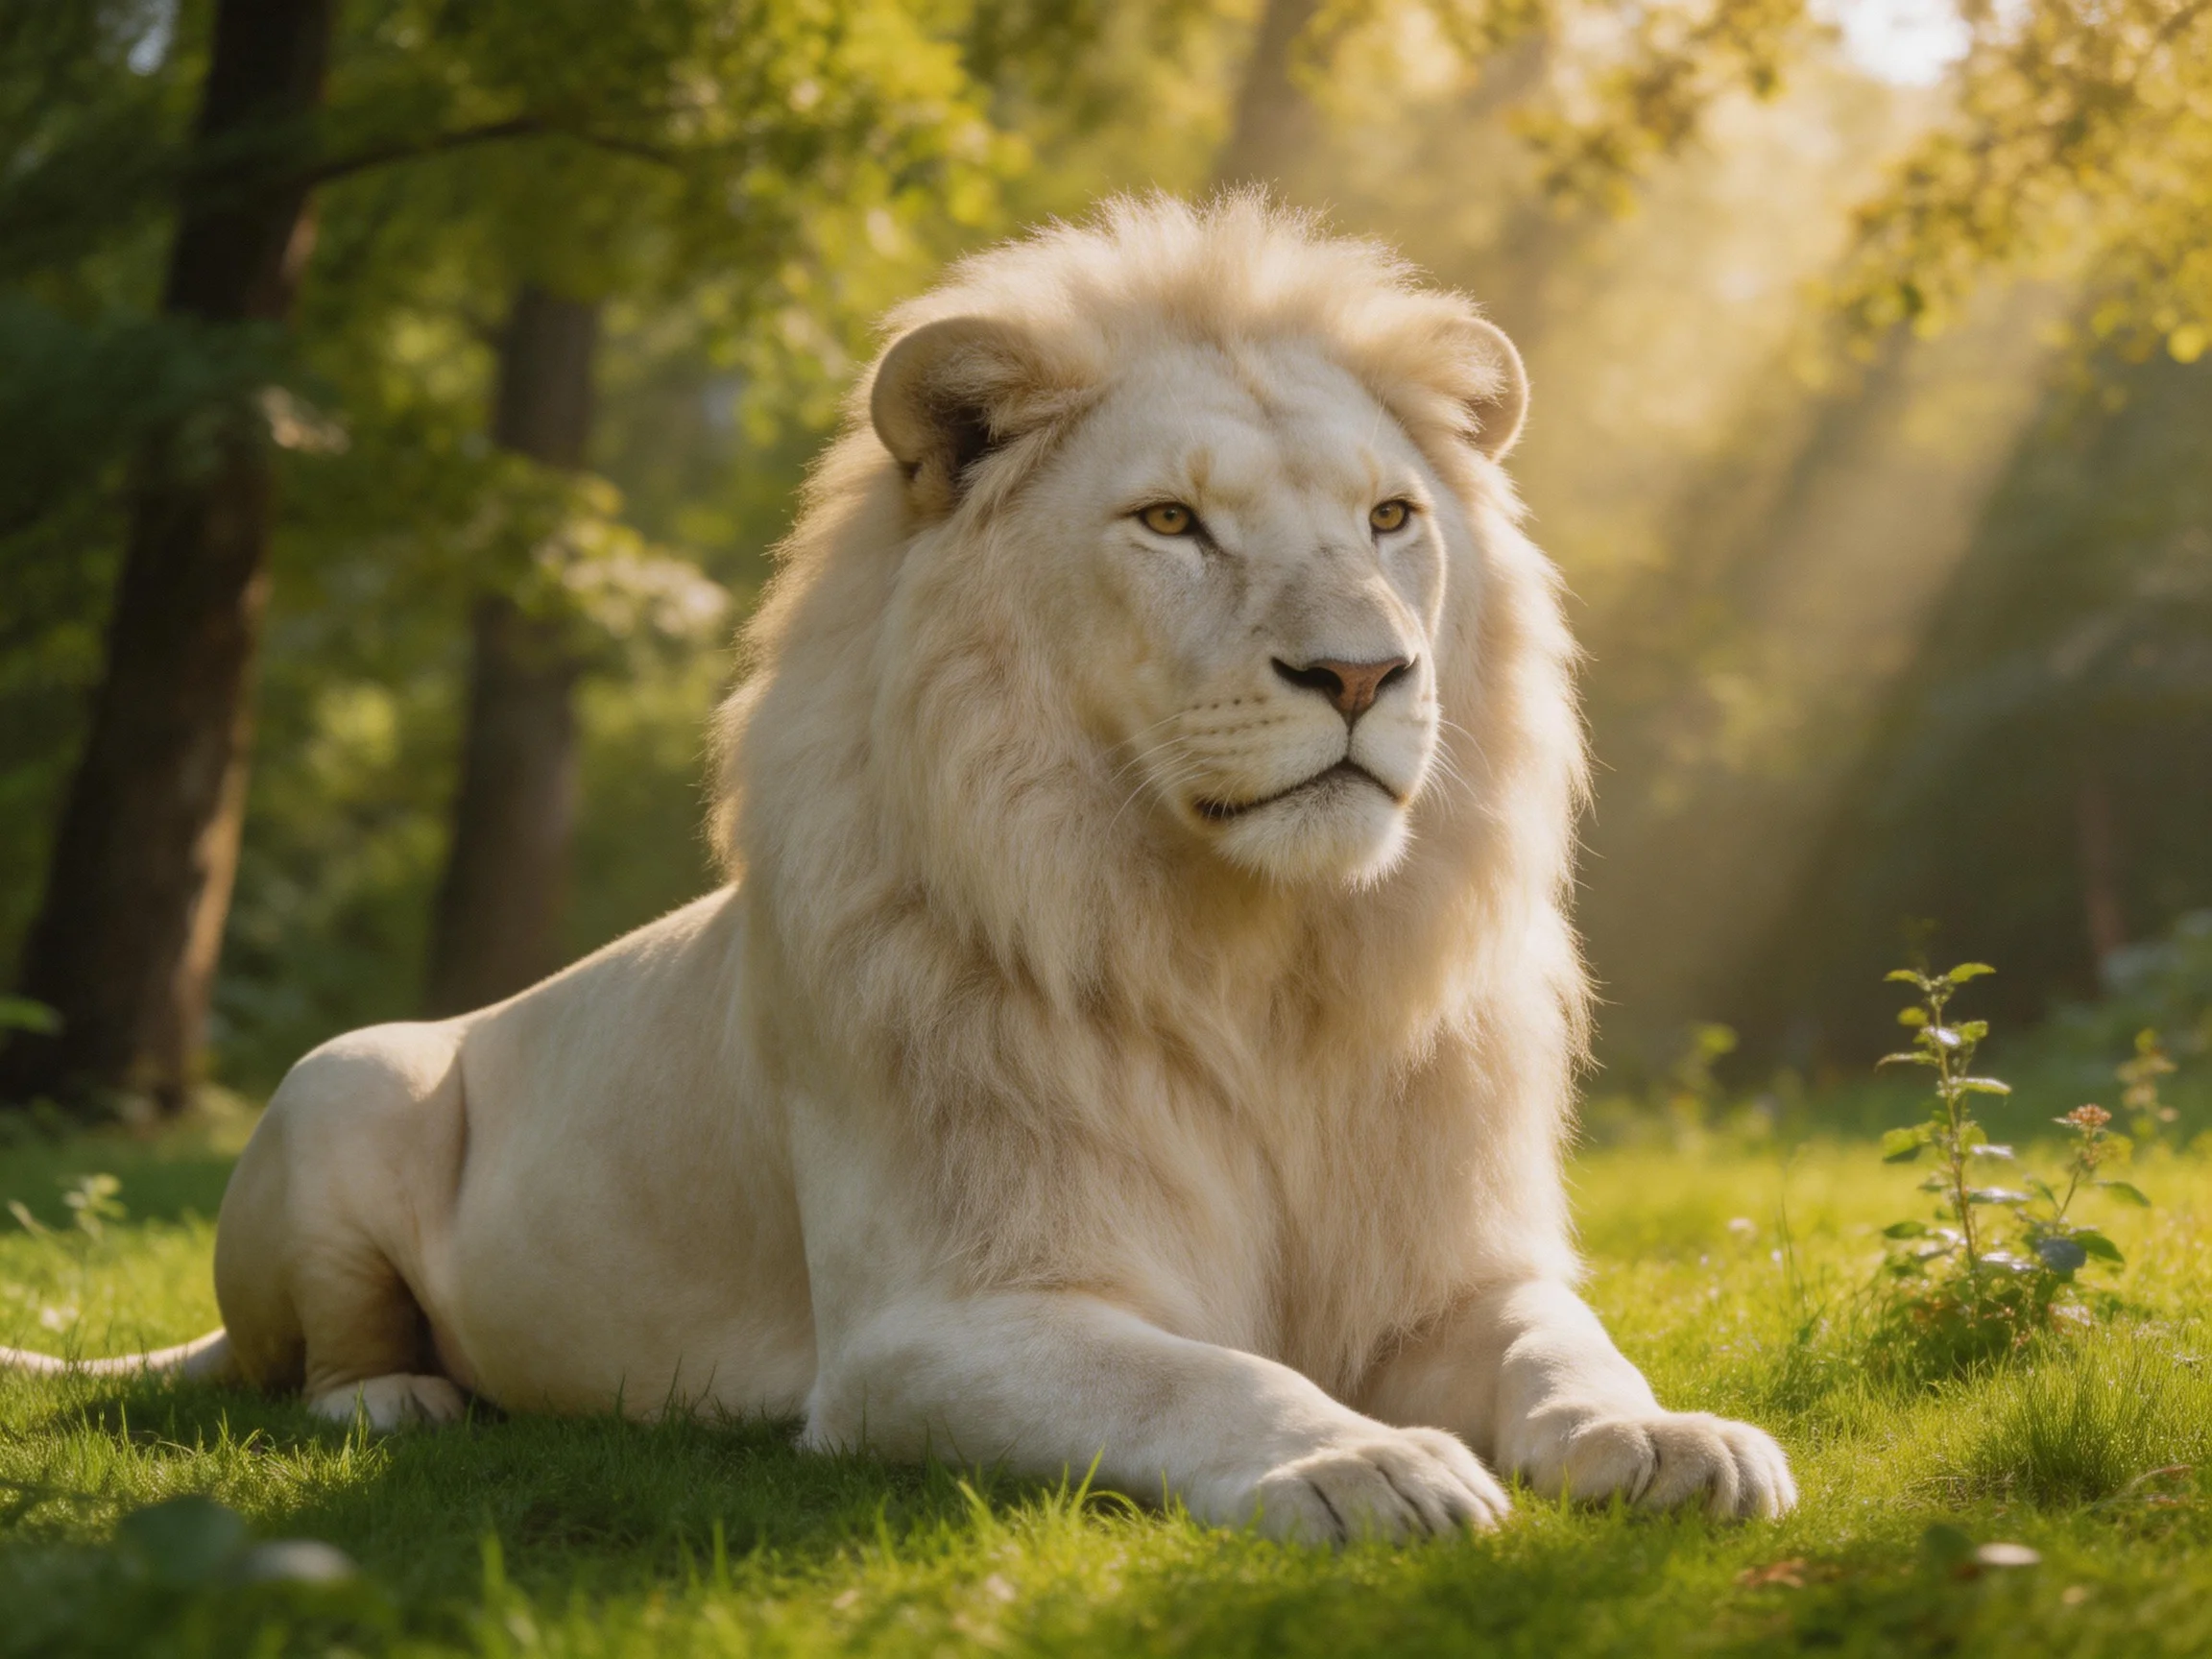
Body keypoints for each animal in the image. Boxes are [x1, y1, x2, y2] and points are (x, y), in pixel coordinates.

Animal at [4, 195, 1793, 1537]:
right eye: (1169, 524)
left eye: (1388, 519)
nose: (1362, 674)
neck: (1255, 965)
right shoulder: (926, 1329)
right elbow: (1198, 1372)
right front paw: (1356, 1458)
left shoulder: (1453, 1273)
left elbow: (1562, 1343)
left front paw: (1670, 1437)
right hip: (337, 1082)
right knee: (306, 1359)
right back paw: (399, 1397)